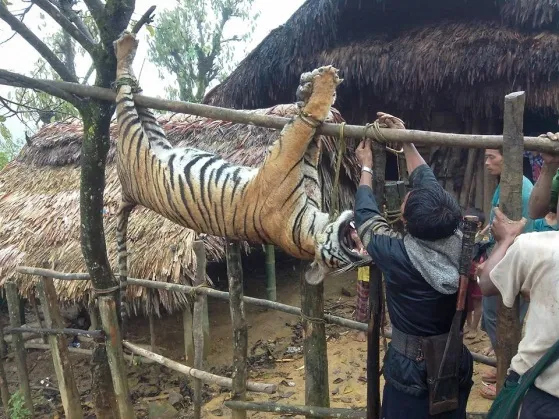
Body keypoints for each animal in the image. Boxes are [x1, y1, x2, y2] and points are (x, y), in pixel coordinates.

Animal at [112, 32, 365, 285]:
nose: (362, 257)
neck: (308, 228)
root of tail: (126, 191)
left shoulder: (282, 163)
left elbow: (305, 125)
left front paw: (321, 87)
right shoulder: (296, 167)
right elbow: (309, 139)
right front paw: (313, 88)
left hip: (141, 138)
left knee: (126, 97)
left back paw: (124, 47)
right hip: (144, 134)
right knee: (129, 92)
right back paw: (126, 48)